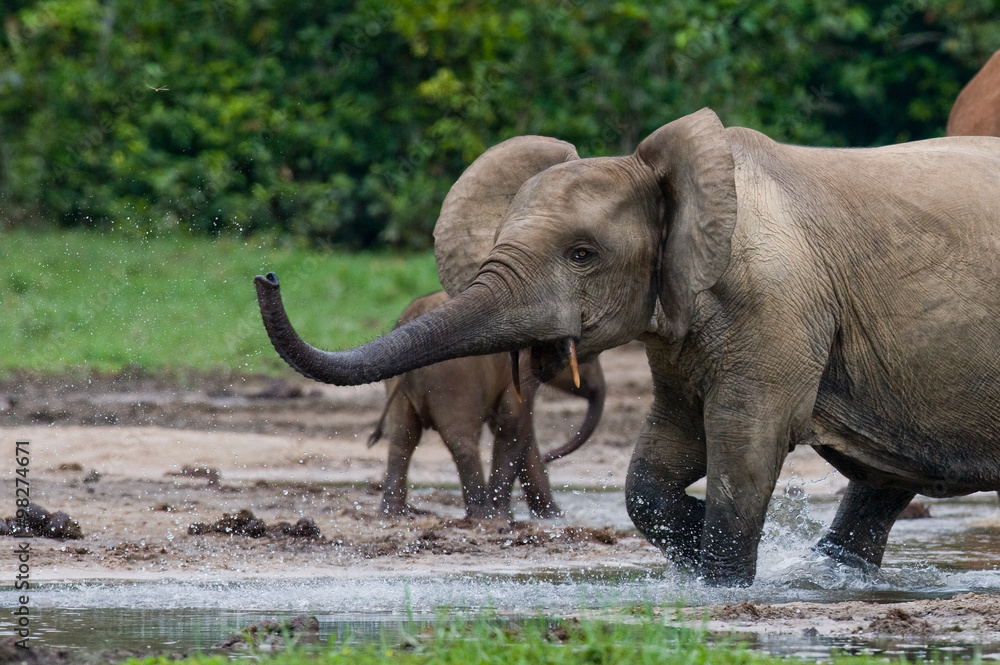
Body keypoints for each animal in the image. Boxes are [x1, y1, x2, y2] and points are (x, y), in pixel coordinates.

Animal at [367, 289, 606, 520]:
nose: (550, 457)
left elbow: (519, 431)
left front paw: (552, 518)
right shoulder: (520, 371)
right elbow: (514, 426)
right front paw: (505, 517)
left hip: (401, 390)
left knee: (402, 439)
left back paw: (392, 514)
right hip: (452, 381)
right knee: (462, 442)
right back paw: (484, 516)